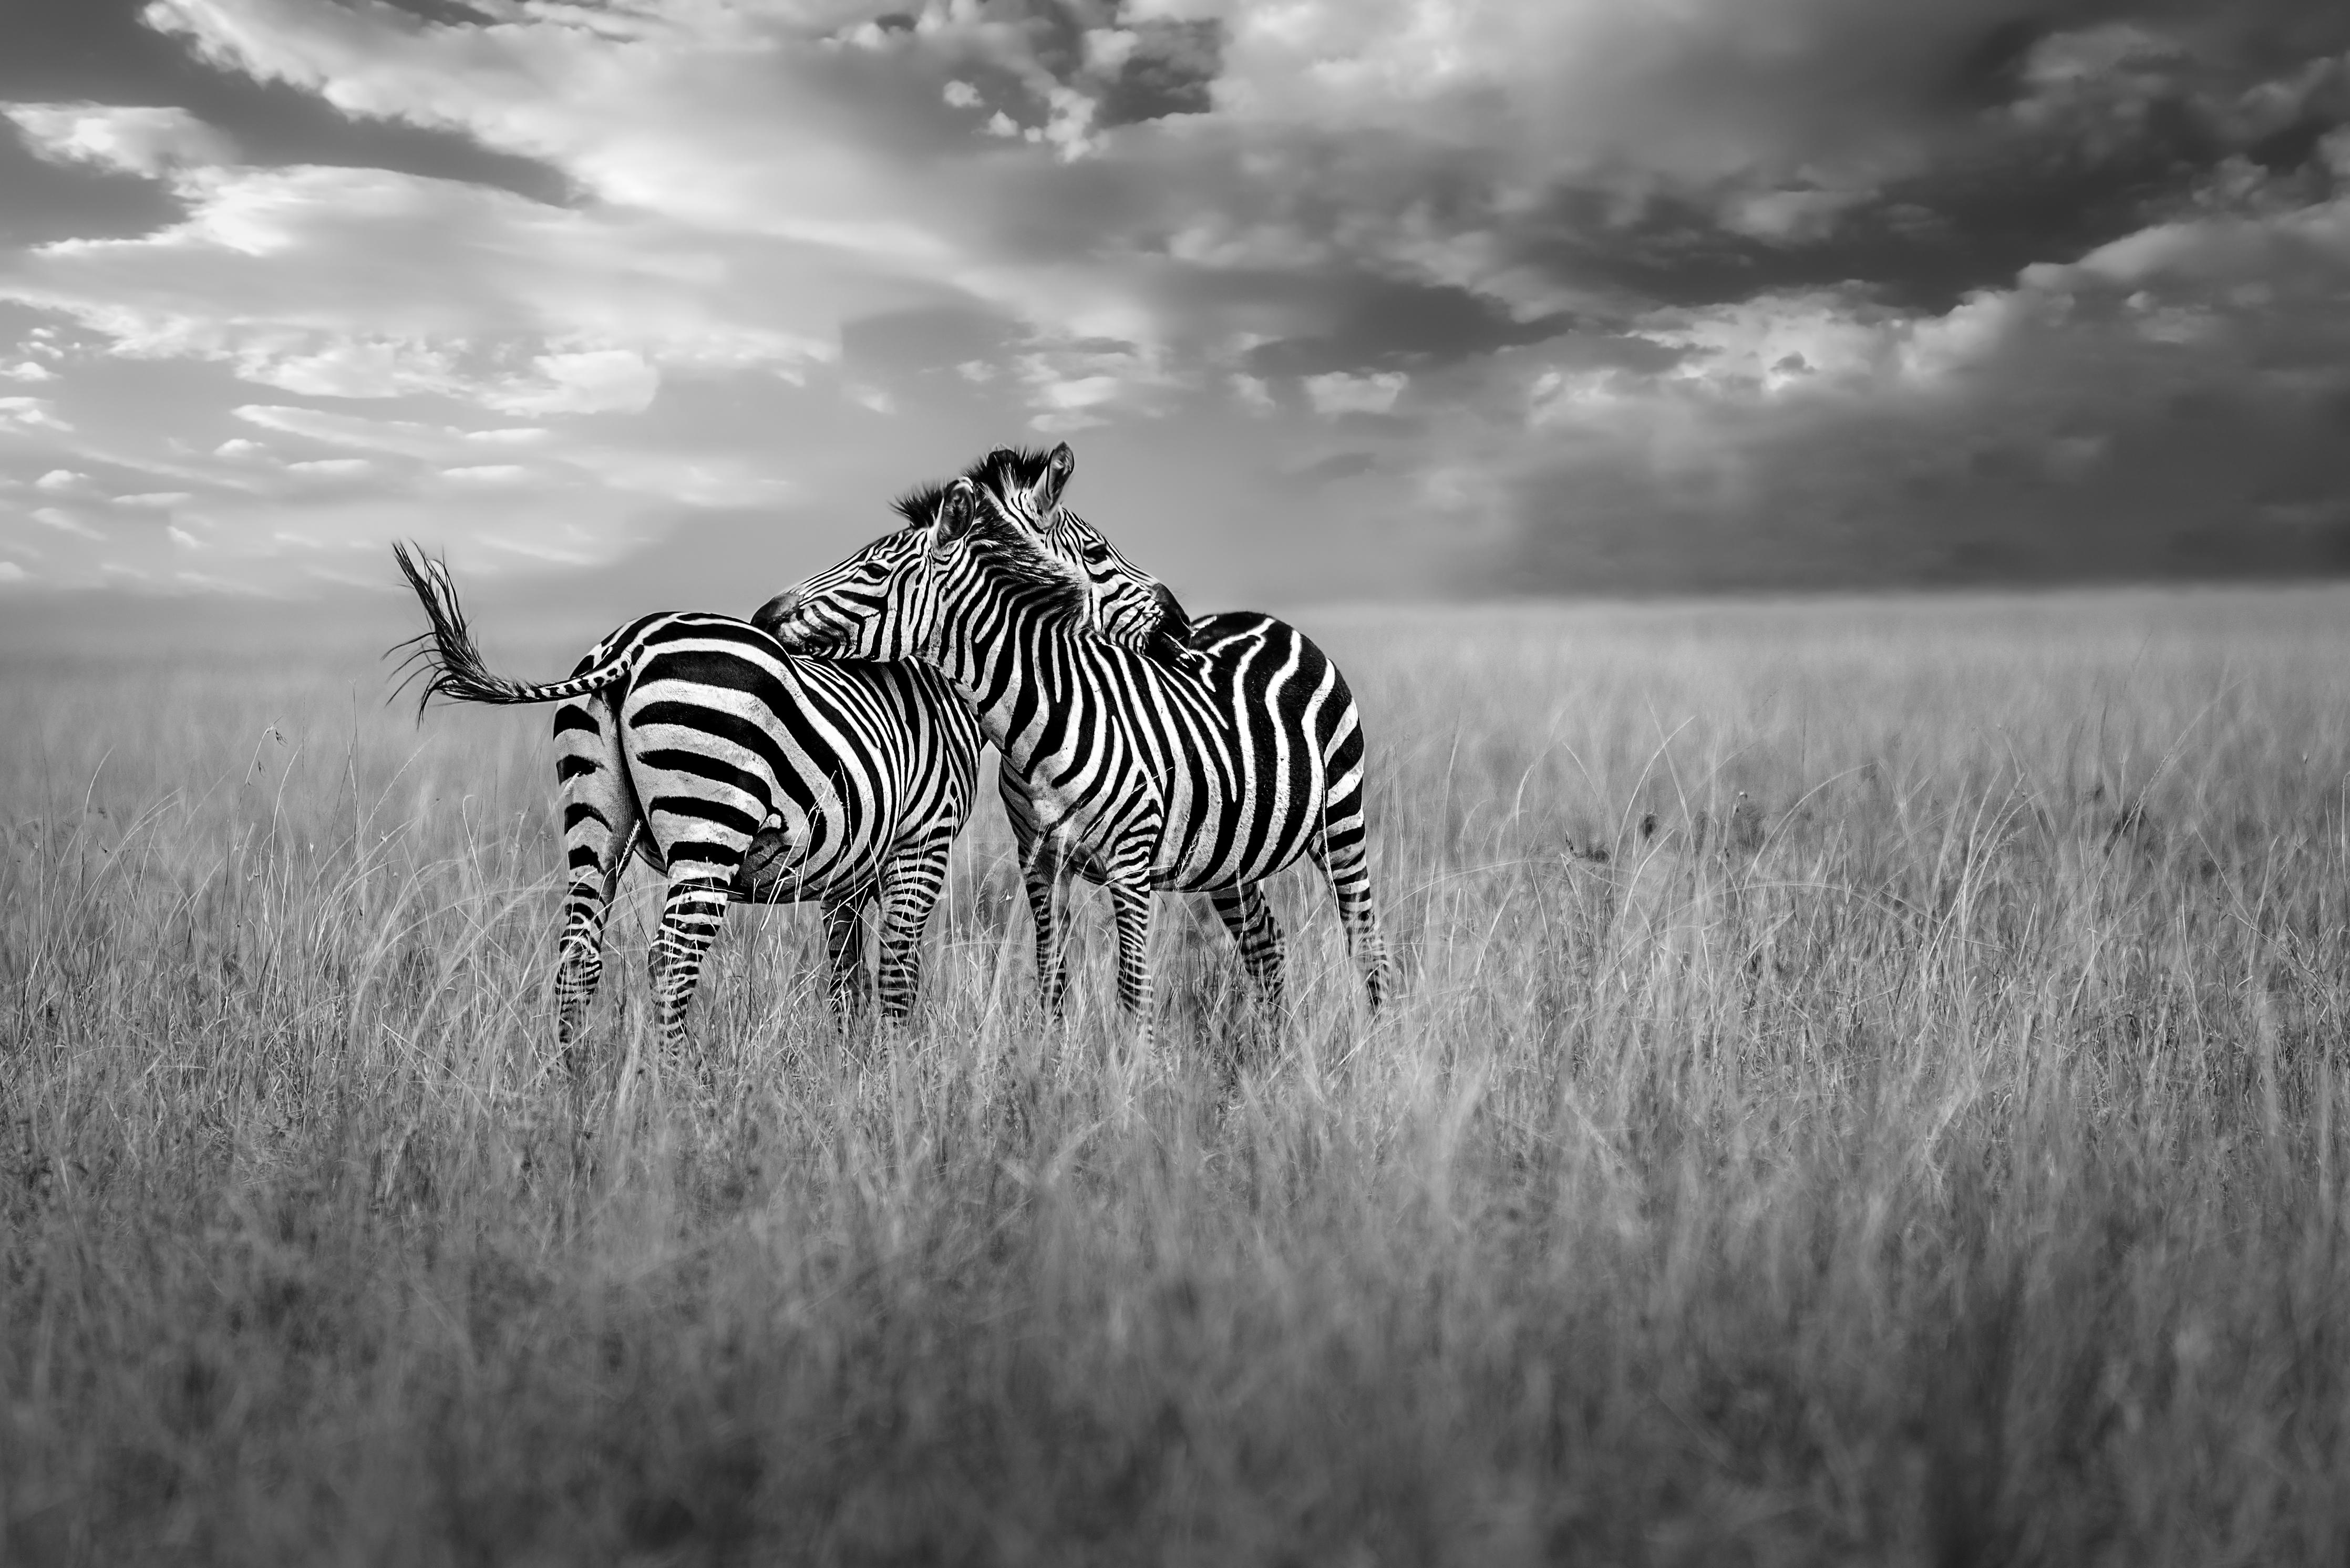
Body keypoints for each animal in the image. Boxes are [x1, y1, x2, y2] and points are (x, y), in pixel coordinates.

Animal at [388, 487, 1175, 1053]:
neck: (944, 680)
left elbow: (846, 981)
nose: (1175, 622)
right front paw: (902, 1086)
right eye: (1096, 551)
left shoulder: (849, 873)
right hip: (709, 827)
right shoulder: (922, 845)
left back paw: (572, 1090)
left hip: (595, 824)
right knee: (671, 962)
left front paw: (855, 1074)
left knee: (577, 959)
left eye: (872, 566)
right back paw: (681, 1101)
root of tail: (631, 647)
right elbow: (897, 974)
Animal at [757, 444, 1392, 1048]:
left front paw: (1136, 1075)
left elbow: (1133, 989)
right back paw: (1278, 1054)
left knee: (1368, 942)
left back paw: (1375, 1050)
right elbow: (1051, 978)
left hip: (1341, 820)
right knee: (1266, 942)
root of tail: (1264, 618)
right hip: (1231, 857)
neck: (1040, 719)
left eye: (871, 568)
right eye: (1098, 553)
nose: (763, 614)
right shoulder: (1039, 862)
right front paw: (1056, 1066)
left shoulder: (1131, 866)